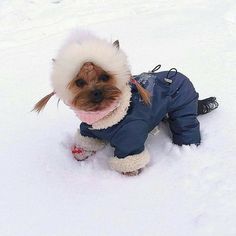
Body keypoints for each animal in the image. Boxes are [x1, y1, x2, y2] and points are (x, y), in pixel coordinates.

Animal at [32, 30, 218, 175]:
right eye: (79, 82)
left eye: (105, 77)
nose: (96, 92)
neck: (106, 117)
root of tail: (178, 74)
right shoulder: (88, 129)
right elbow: (86, 141)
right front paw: (81, 152)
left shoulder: (130, 135)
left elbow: (129, 156)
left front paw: (130, 171)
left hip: (182, 106)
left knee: (186, 125)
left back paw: (186, 146)